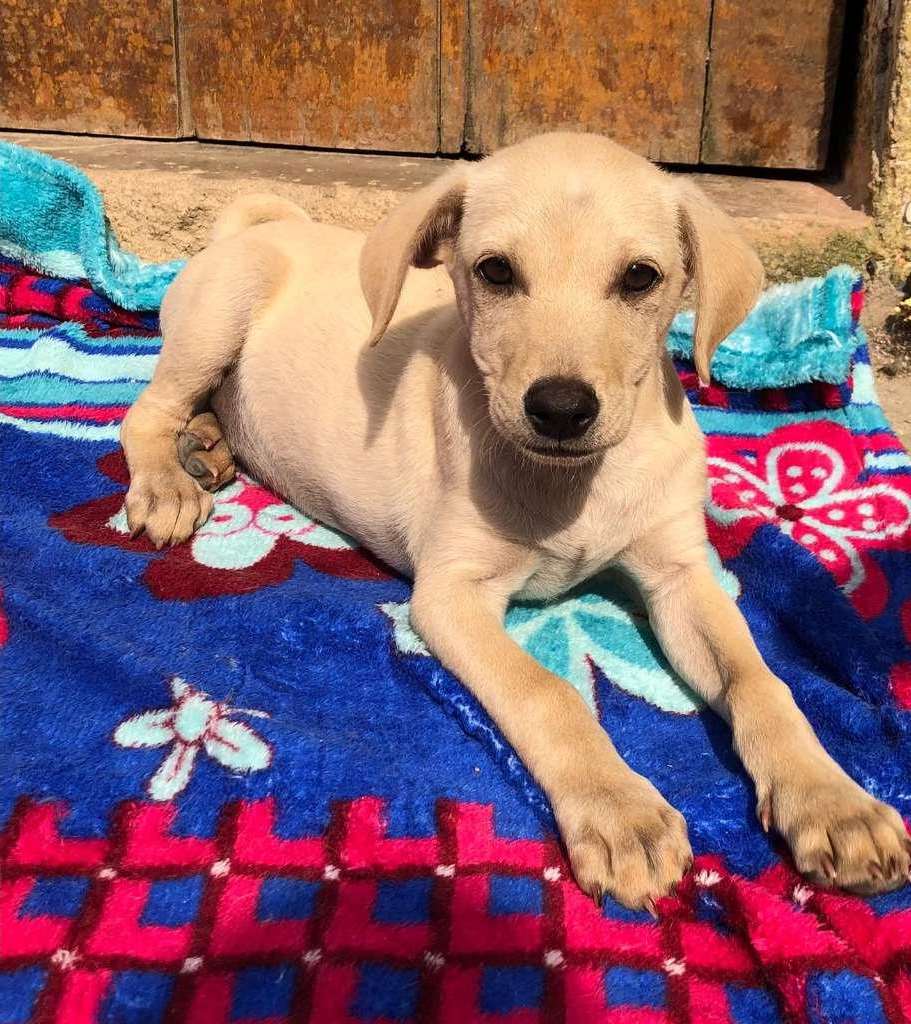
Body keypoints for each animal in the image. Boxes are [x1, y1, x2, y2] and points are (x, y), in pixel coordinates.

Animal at [121, 132, 910, 910]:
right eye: (495, 271)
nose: (560, 409)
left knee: (209, 407)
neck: (577, 484)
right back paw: (168, 483)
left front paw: (833, 802)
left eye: (639, 278)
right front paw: (618, 811)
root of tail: (261, 226)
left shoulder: (681, 575)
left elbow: (759, 681)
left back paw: (209, 448)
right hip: (220, 309)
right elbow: (548, 693)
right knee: (147, 410)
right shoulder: (450, 594)